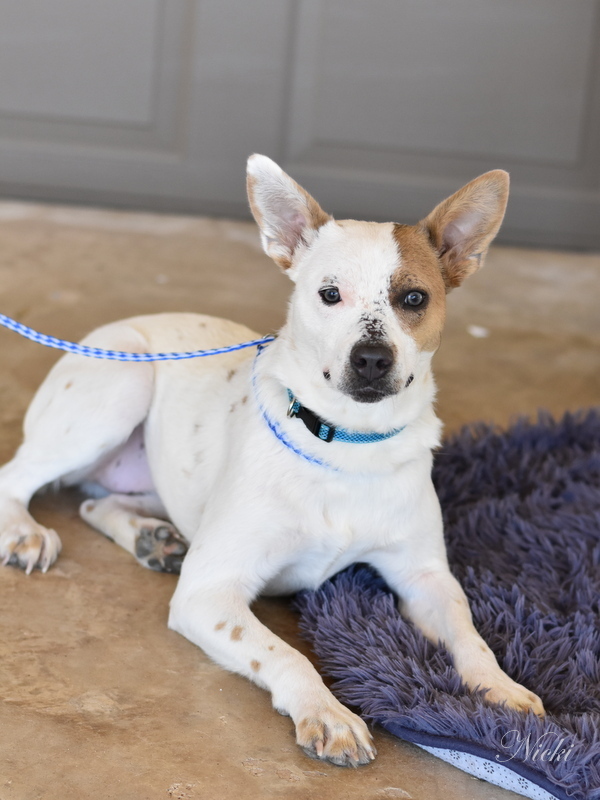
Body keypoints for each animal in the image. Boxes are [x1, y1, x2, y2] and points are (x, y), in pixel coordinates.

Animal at [0, 155, 544, 764]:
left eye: (414, 299)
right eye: (329, 294)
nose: (371, 359)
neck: (346, 445)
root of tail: (102, 332)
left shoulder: (424, 575)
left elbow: (469, 632)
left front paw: (501, 688)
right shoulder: (209, 591)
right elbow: (287, 653)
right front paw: (327, 713)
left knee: (97, 504)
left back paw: (151, 538)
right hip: (123, 386)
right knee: (16, 478)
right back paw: (26, 532)